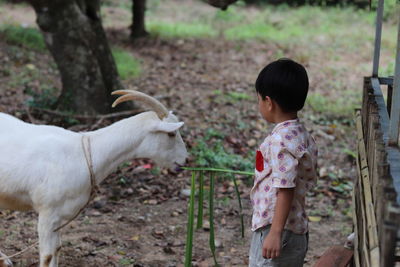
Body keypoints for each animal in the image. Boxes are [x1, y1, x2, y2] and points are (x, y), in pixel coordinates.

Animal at [0, 90, 188, 267]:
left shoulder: (59, 217)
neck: (83, 153)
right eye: (171, 134)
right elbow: (47, 256)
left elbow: (57, 249)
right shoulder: (47, 211)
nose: (185, 160)